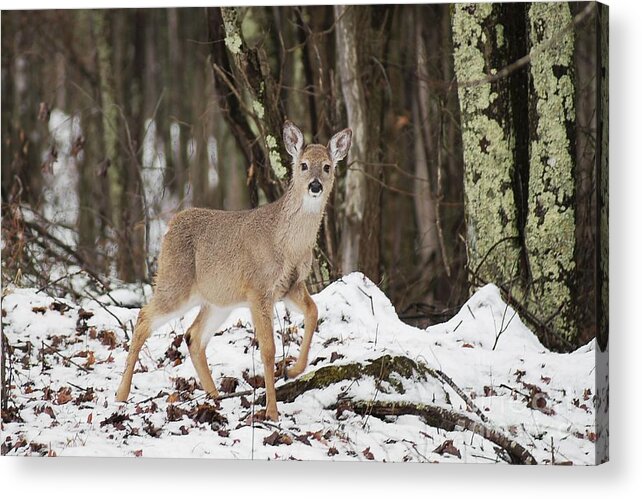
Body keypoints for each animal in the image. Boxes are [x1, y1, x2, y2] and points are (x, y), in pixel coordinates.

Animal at [117, 121, 352, 422]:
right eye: (303, 165)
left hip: (218, 301)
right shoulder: (258, 289)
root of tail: (170, 225)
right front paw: (272, 412)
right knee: (144, 316)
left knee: (193, 335)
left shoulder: (291, 286)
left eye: (327, 166)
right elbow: (268, 349)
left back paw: (215, 397)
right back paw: (121, 395)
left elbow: (313, 312)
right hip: (175, 281)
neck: (287, 244)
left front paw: (293, 370)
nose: (315, 185)